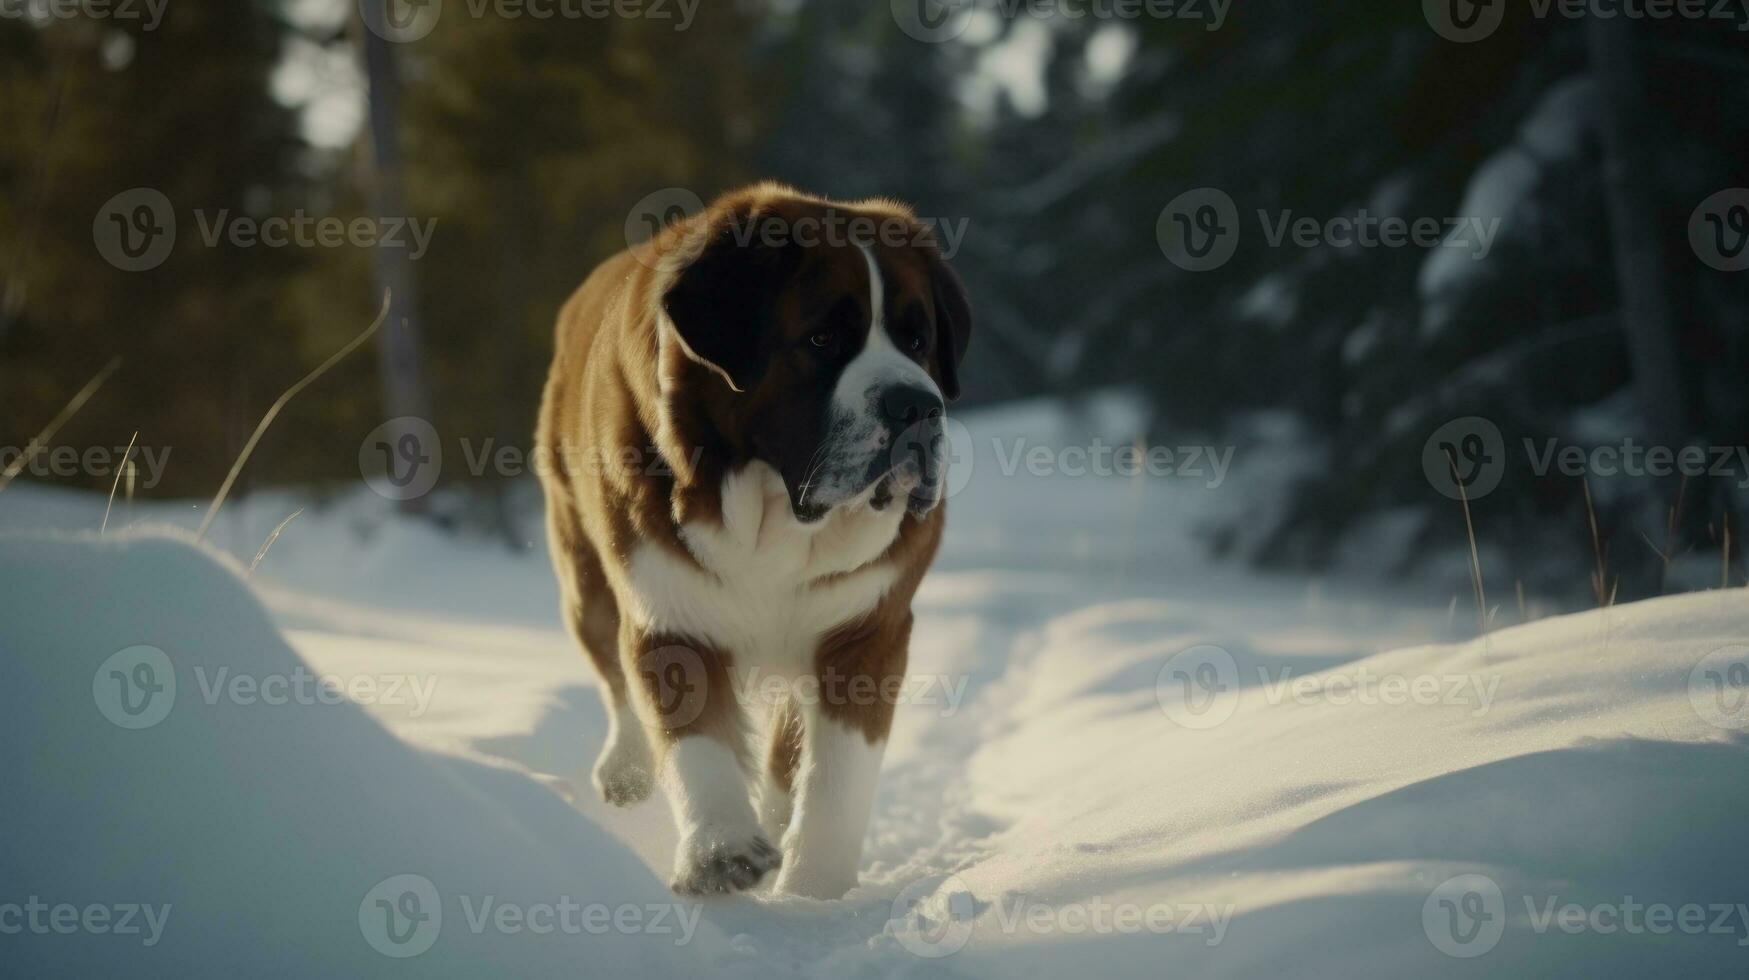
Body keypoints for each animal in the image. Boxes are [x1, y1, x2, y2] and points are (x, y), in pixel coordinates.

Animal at [535, 182, 972, 896]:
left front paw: (814, 892)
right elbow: (696, 744)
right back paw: (625, 770)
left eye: (918, 338)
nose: (917, 406)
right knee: (611, 669)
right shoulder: (668, 612)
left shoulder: (866, 630)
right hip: (583, 573)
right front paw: (722, 853)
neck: (775, 516)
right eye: (822, 338)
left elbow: (836, 775)